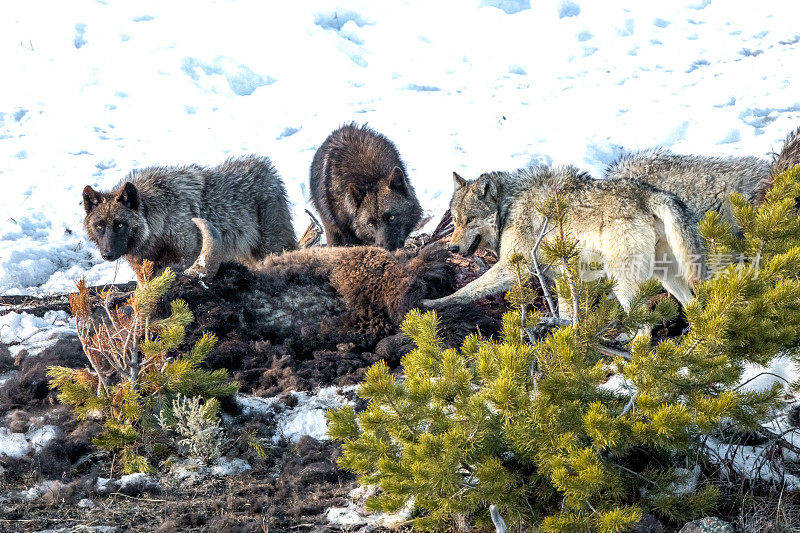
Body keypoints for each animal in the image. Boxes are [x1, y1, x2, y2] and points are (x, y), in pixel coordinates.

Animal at [83, 154, 296, 276]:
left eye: (119, 225)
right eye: (100, 226)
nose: (107, 254)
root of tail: (269, 170)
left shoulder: (188, 258)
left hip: (269, 249)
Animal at [422, 166, 704, 316]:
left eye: (470, 220)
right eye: (456, 220)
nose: (452, 247)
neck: (508, 207)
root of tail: (649, 194)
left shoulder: (515, 266)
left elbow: (468, 289)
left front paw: (435, 304)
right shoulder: (562, 279)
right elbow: (569, 314)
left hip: (623, 283)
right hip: (665, 275)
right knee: (692, 304)